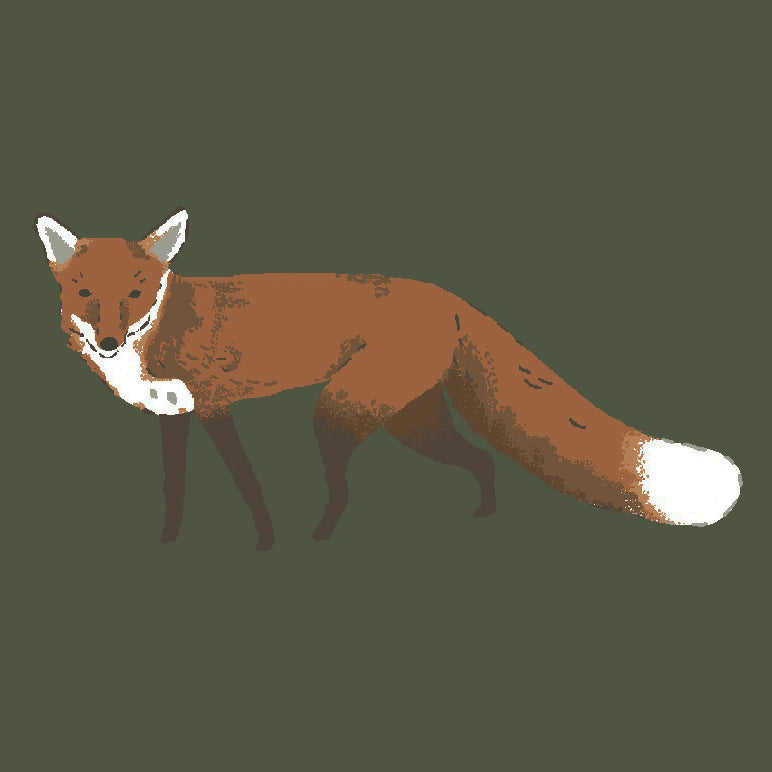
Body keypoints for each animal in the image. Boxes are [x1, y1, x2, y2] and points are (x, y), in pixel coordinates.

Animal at [37, 210, 742, 549]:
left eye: (134, 292)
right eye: (86, 292)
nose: (107, 342)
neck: (156, 332)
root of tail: (444, 294)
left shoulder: (212, 410)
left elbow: (250, 491)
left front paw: (264, 543)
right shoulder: (175, 421)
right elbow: (174, 493)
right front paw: (168, 541)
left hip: (337, 412)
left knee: (347, 491)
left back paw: (319, 539)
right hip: (410, 421)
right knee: (482, 461)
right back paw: (483, 515)